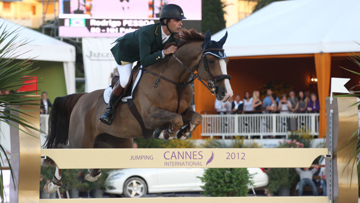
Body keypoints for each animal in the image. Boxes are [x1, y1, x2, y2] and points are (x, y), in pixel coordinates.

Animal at [43, 29, 233, 193]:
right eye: (211, 61)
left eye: (227, 61)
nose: (227, 94)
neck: (174, 80)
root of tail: (82, 97)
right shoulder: (150, 116)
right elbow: (176, 119)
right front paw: (166, 133)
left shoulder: (184, 110)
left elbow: (195, 117)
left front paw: (183, 133)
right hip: (81, 141)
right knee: (63, 151)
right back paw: (53, 184)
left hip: (115, 143)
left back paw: (93, 173)